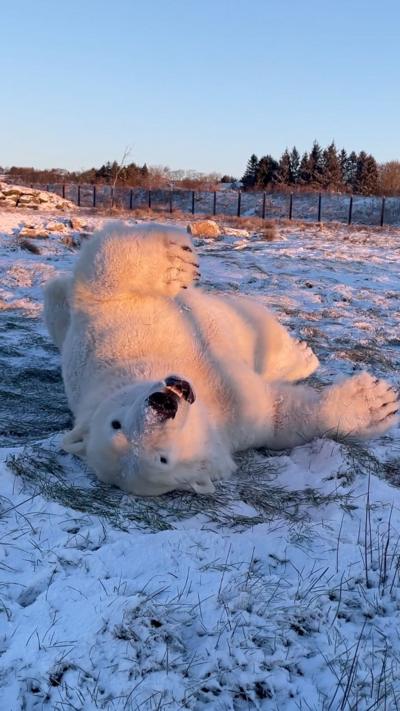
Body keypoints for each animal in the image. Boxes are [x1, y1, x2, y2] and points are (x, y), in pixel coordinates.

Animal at [44, 222, 399, 496]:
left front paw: (176, 262)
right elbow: (282, 416)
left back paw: (301, 353)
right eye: (162, 460)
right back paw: (302, 356)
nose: (163, 403)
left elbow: (103, 276)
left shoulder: (108, 335)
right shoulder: (237, 418)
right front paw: (378, 402)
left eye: (116, 423)